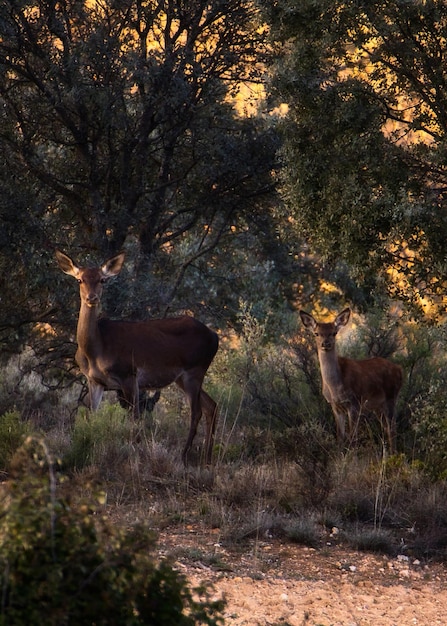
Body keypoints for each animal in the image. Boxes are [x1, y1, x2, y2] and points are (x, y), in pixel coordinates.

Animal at [55, 250, 220, 464]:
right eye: (79, 279)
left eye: (102, 280)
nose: (92, 298)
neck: (95, 350)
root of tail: (215, 337)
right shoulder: (94, 380)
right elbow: (92, 414)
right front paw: (87, 448)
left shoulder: (129, 374)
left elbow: (134, 420)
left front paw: (133, 455)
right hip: (182, 378)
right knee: (212, 406)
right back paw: (207, 459)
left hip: (195, 370)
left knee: (197, 412)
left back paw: (183, 456)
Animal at [300, 306, 402, 448]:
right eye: (316, 333)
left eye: (334, 333)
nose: (326, 343)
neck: (335, 387)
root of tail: (399, 369)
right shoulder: (335, 406)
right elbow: (340, 437)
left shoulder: (354, 402)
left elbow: (353, 438)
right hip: (378, 405)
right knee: (387, 428)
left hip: (391, 396)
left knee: (392, 429)